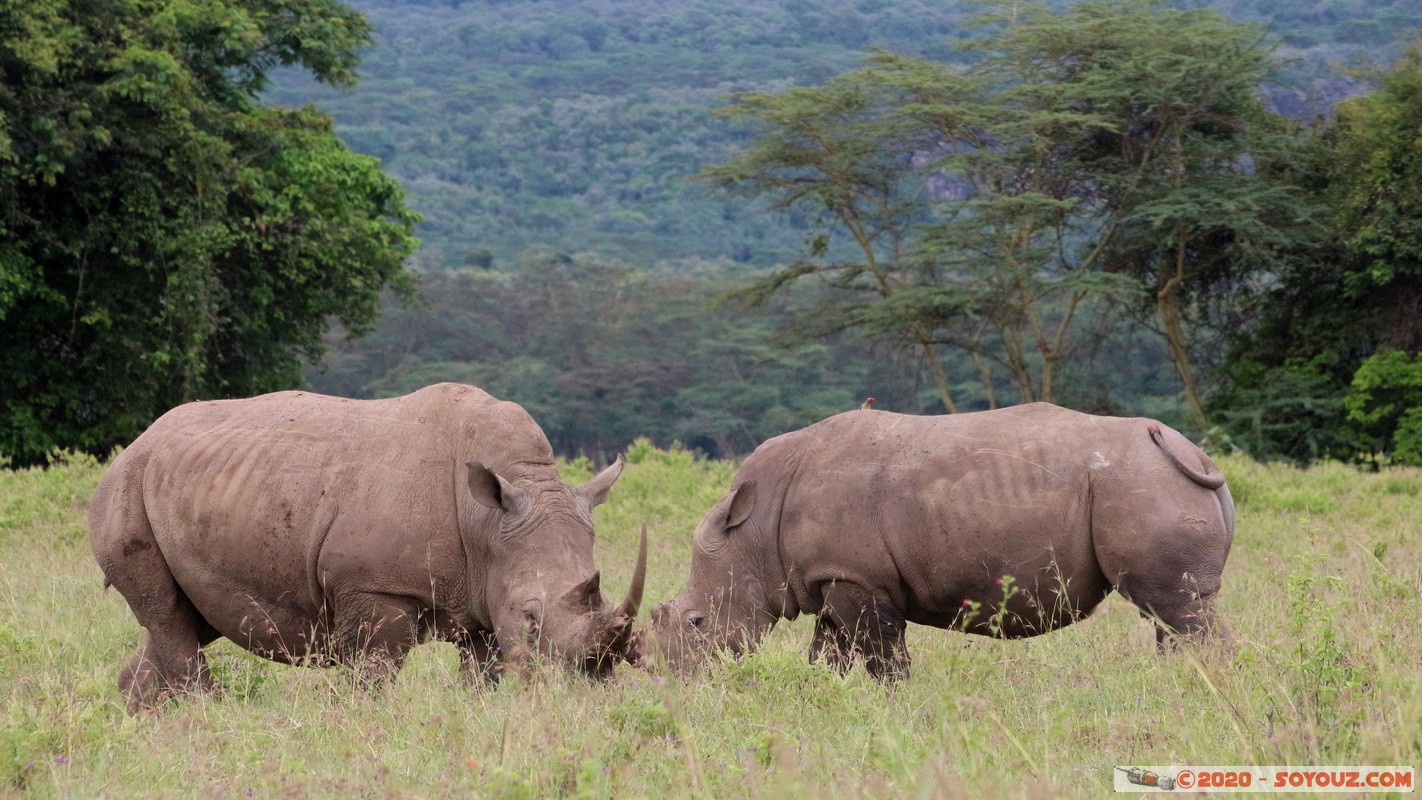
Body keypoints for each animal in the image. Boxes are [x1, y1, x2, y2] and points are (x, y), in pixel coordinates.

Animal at [90, 383, 645, 712]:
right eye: (531, 618)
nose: (588, 688)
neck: (487, 520)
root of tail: (137, 442)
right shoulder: (375, 586)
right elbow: (374, 673)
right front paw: (364, 722)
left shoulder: (485, 590)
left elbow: (482, 672)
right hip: (127, 488)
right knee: (167, 614)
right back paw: (202, 716)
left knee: (190, 618)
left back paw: (145, 719)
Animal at [647, 403, 1235, 680]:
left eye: (697, 622)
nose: (680, 680)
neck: (752, 528)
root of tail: (1193, 453)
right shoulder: (832, 576)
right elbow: (827, 655)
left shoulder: (857, 578)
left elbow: (885, 660)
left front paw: (895, 710)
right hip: (1151, 480)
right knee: (1176, 611)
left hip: (1141, 483)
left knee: (1174, 608)